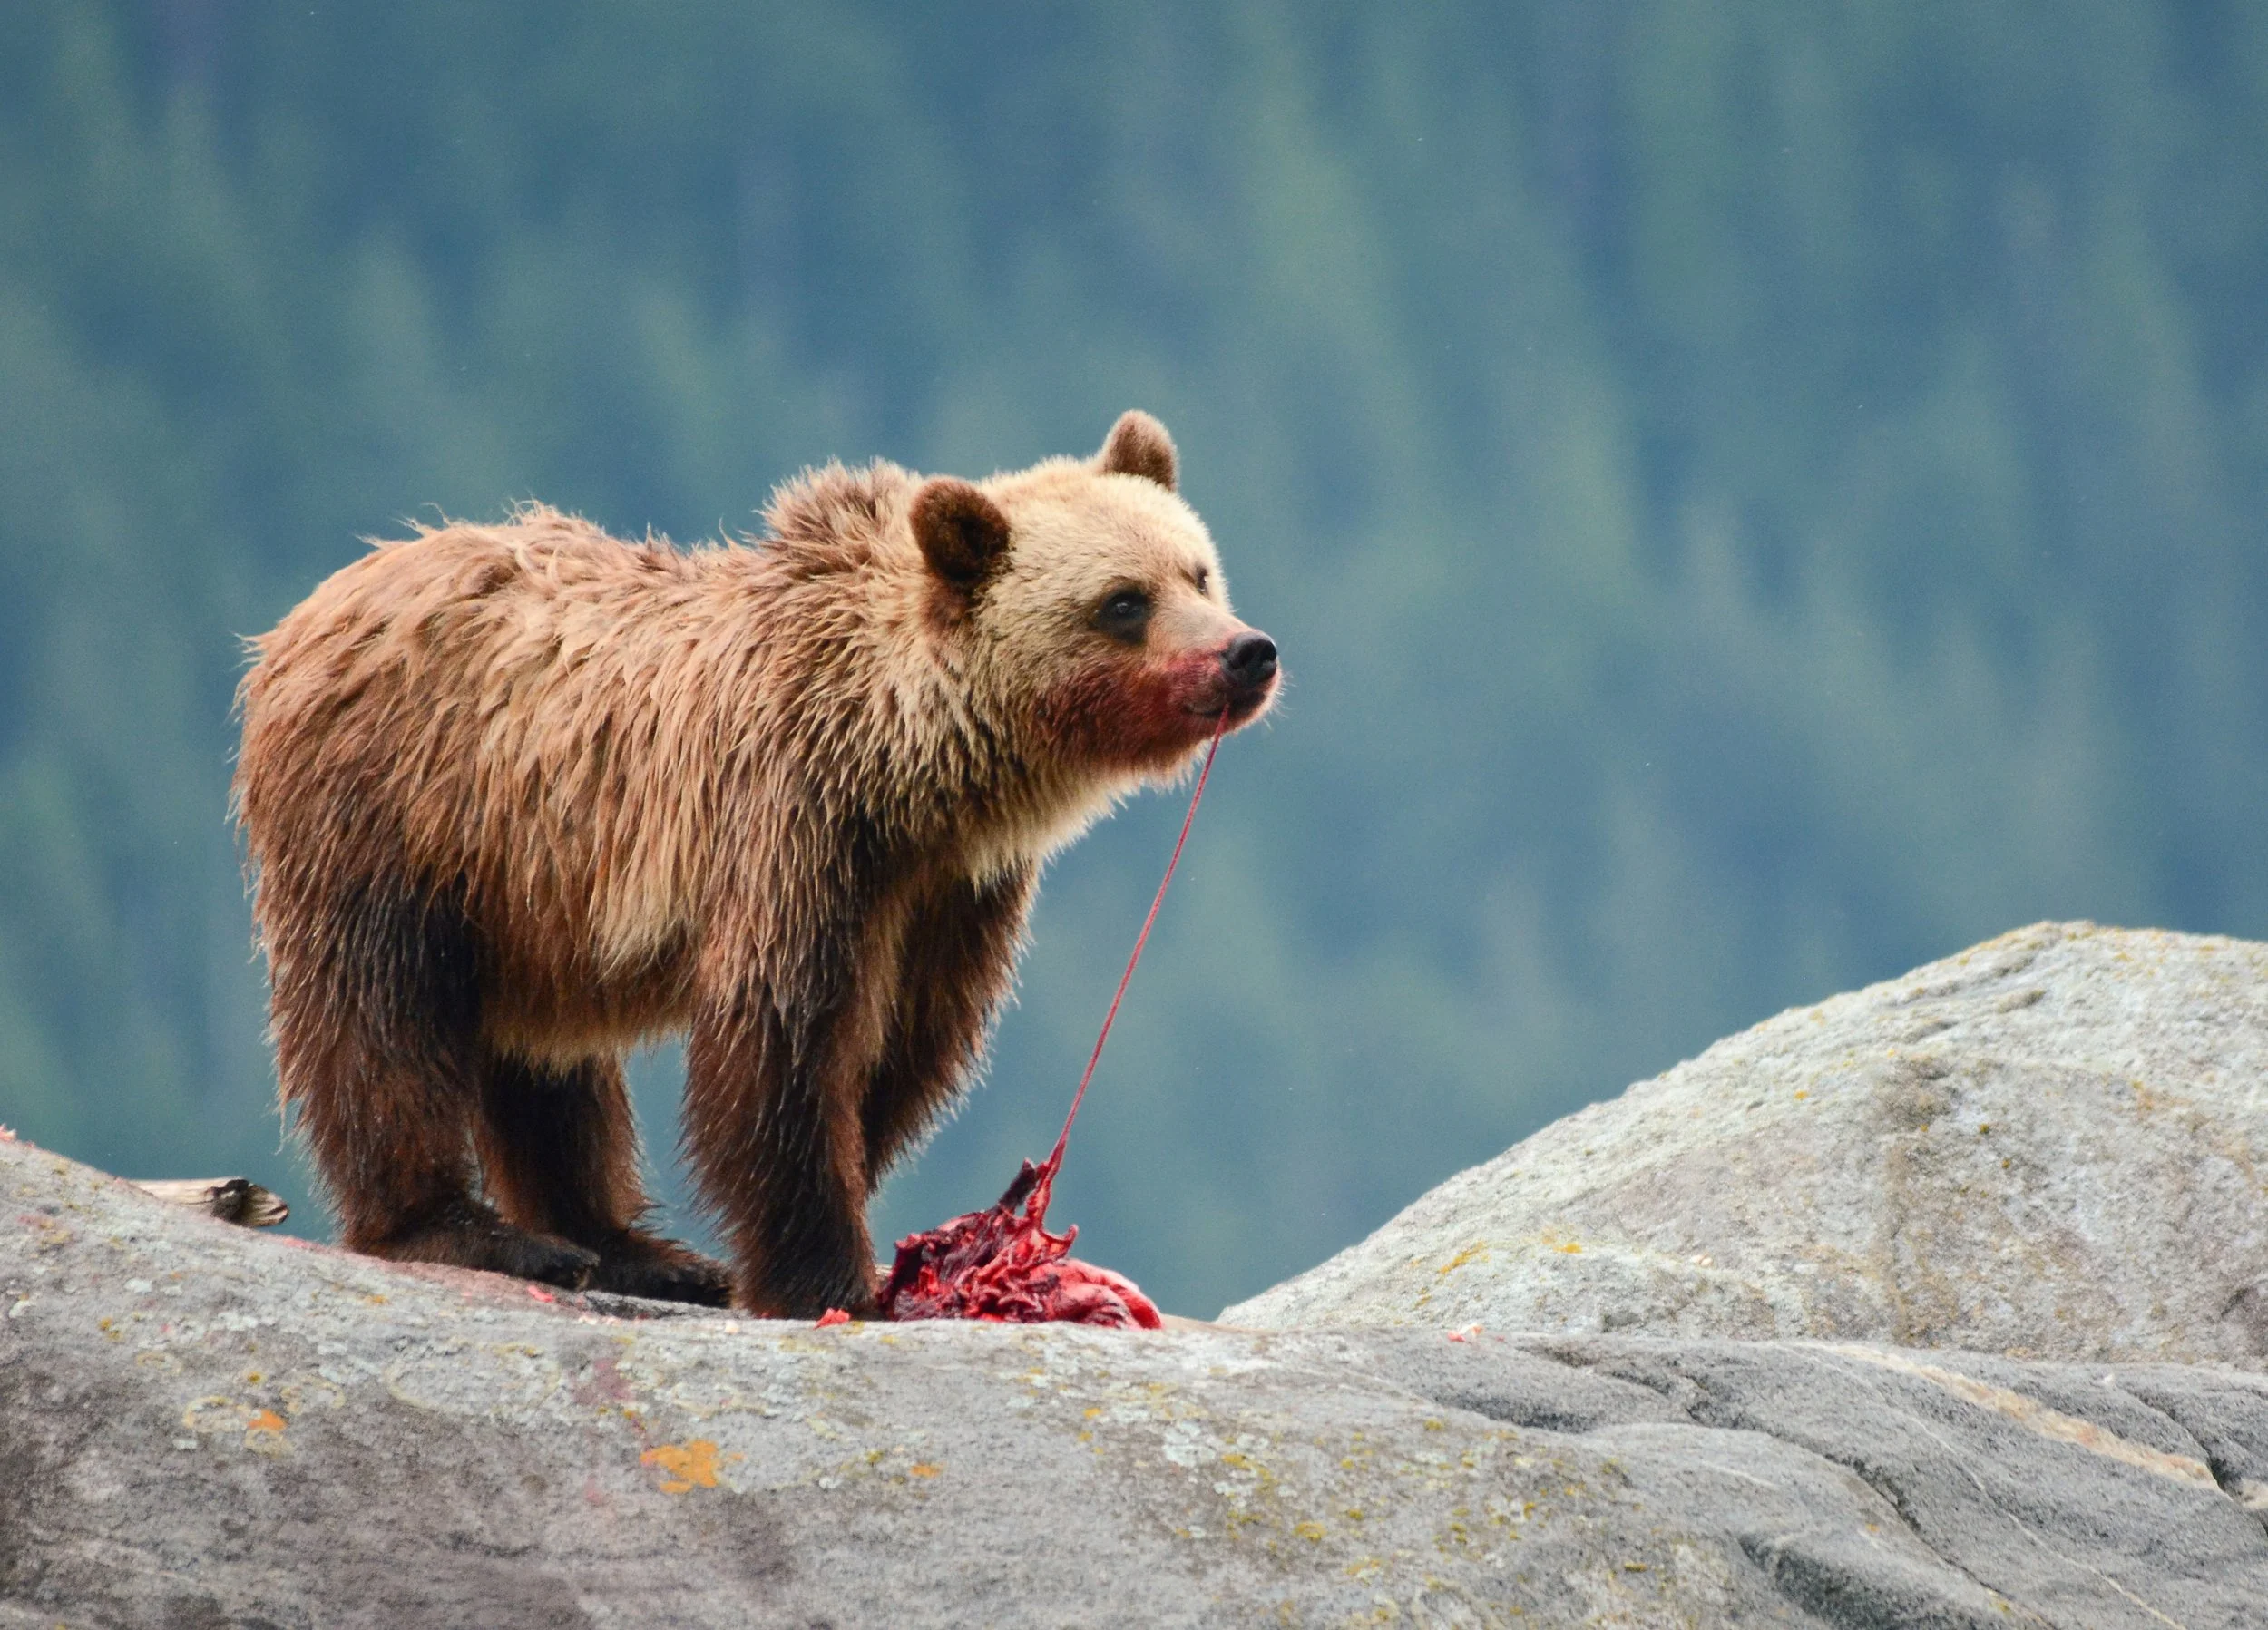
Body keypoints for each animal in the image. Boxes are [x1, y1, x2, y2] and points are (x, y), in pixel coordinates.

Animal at [232, 411, 1278, 1317]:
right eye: (1123, 602)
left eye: (1198, 570)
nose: (1246, 654)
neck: (903, 758)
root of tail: (316, 605)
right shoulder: (794, 828)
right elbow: (784, 1045)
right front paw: (828, 1277)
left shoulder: (952, 888)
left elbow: (904, 1051)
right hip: (399, 818)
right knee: (381, 1018)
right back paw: (461, 1229)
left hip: (532, 894)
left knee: (546, 1062)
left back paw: (629, 1246)